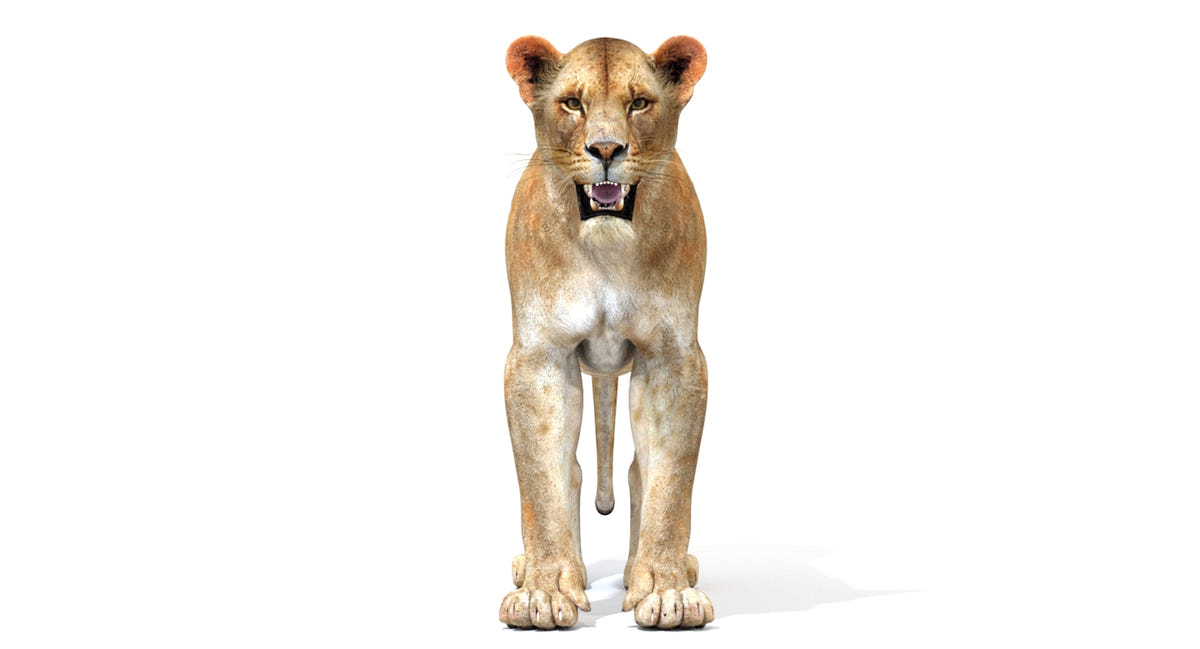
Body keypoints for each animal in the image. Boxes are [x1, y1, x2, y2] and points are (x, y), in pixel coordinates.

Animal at [498, 35, 713, 630]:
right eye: (573, 103)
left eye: (639, 103)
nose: (607, 148)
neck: (608, 248)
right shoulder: (539, 357)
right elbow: (544, 479)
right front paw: (546, 592)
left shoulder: (673, 357)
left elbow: (667, 483)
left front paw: (664, 590)